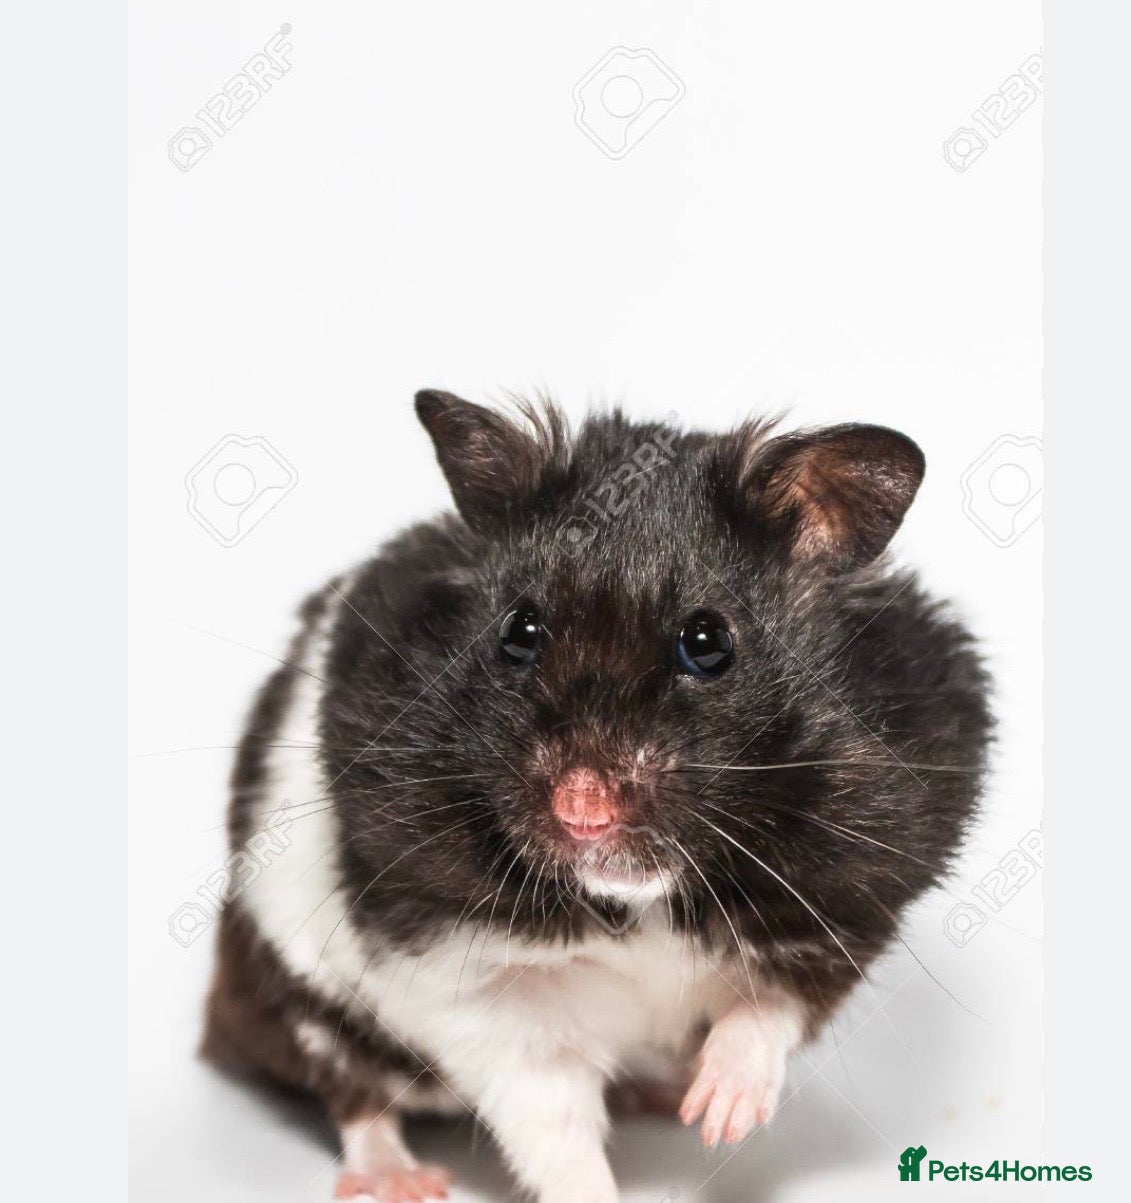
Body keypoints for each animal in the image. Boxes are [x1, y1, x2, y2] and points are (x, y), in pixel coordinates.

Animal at [202, 390, 991, 1203]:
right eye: (518, 631)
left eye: (707, 643)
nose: (582, 810)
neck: (639, 899)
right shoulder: (475, 985)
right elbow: (552, 1127)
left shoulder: (841, 913)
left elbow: (768, 1010)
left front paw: (718, 1119)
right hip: (290, 990)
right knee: (353, 1090)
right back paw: (403, 1179)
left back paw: (665, 1093)